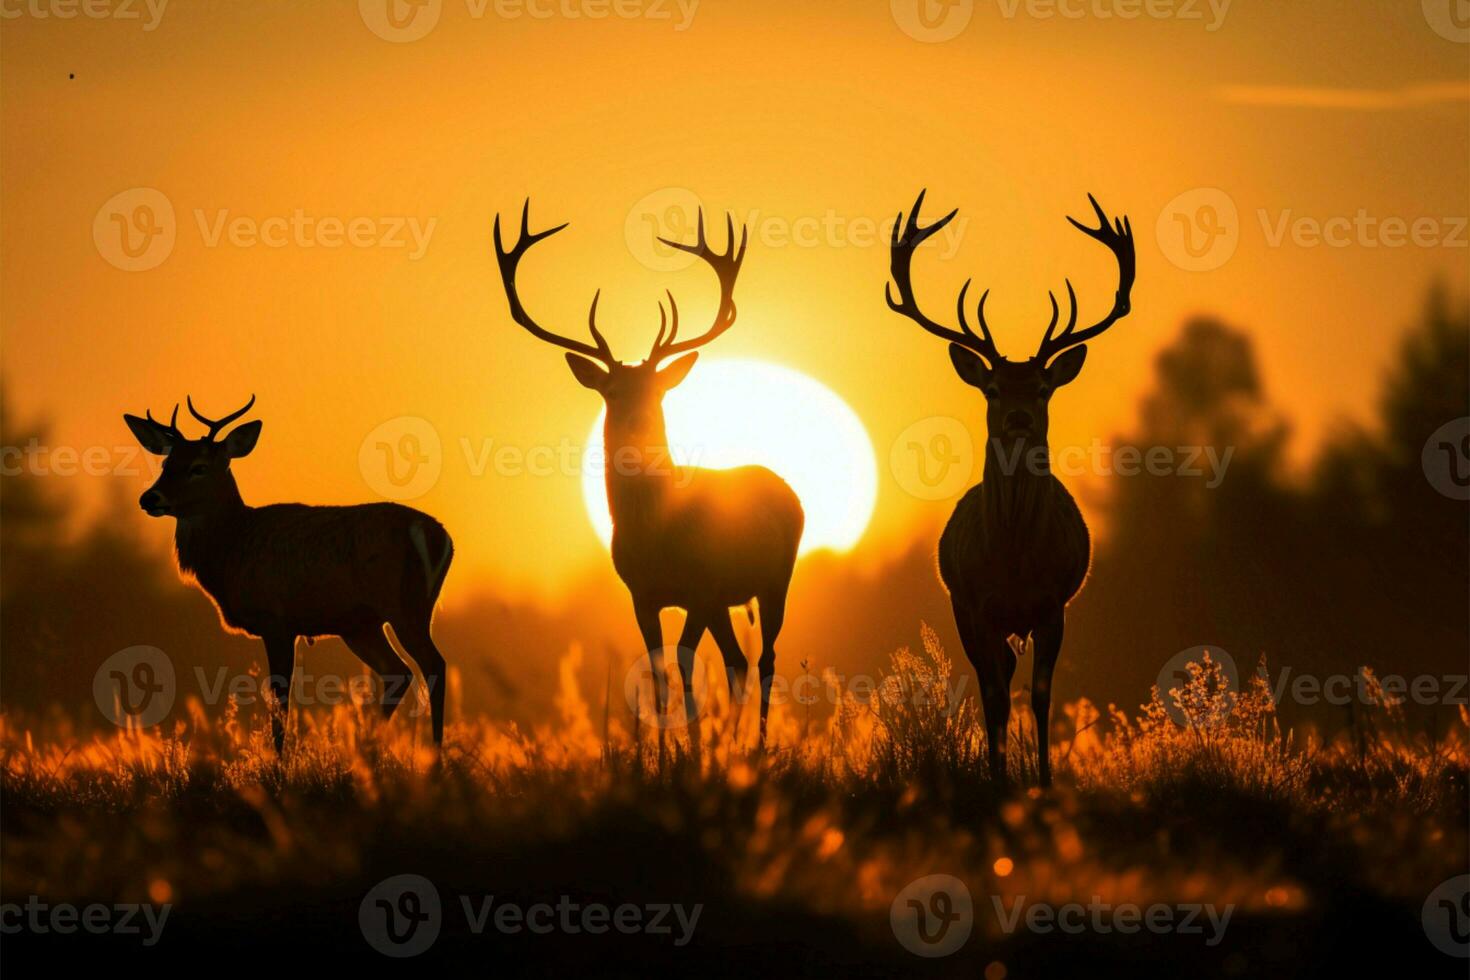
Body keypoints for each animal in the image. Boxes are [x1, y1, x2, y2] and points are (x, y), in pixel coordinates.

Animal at [123, 399, 449, 752]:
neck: (232, 549)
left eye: (199, 467)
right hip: (361, 624)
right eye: (166, 462)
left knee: (434, 665)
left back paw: (434, 754)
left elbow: (280, 704)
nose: (150, 497)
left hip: (405, 605)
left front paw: (279, 762)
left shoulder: (275, 619)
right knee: (397, 671)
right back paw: (368, 750)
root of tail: (442, 537)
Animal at [499, 201, 811, 743]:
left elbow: (684, 667)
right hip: (729, 599)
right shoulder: (641, 594)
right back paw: (734, 743)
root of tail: (787, 490)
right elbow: (659, 672)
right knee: (738, 660)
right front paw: (668, 752)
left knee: (767, 658)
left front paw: (692, 749)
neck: (655, 533)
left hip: (777, 578)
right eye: (612, 391)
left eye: (657, 390)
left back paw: (757, 746)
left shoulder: (700, 587)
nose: (637, 422)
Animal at [882, 189, 1134, 787]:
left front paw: (1043, 780)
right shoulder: (975, 603)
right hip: (968, 614)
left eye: (1043, 387)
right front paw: (998, 780)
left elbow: (1041, 696)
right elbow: (995, 695)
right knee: (991, 684)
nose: (1019, 418)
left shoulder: (1053, 604)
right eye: (993, 388)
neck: (1016, 559)